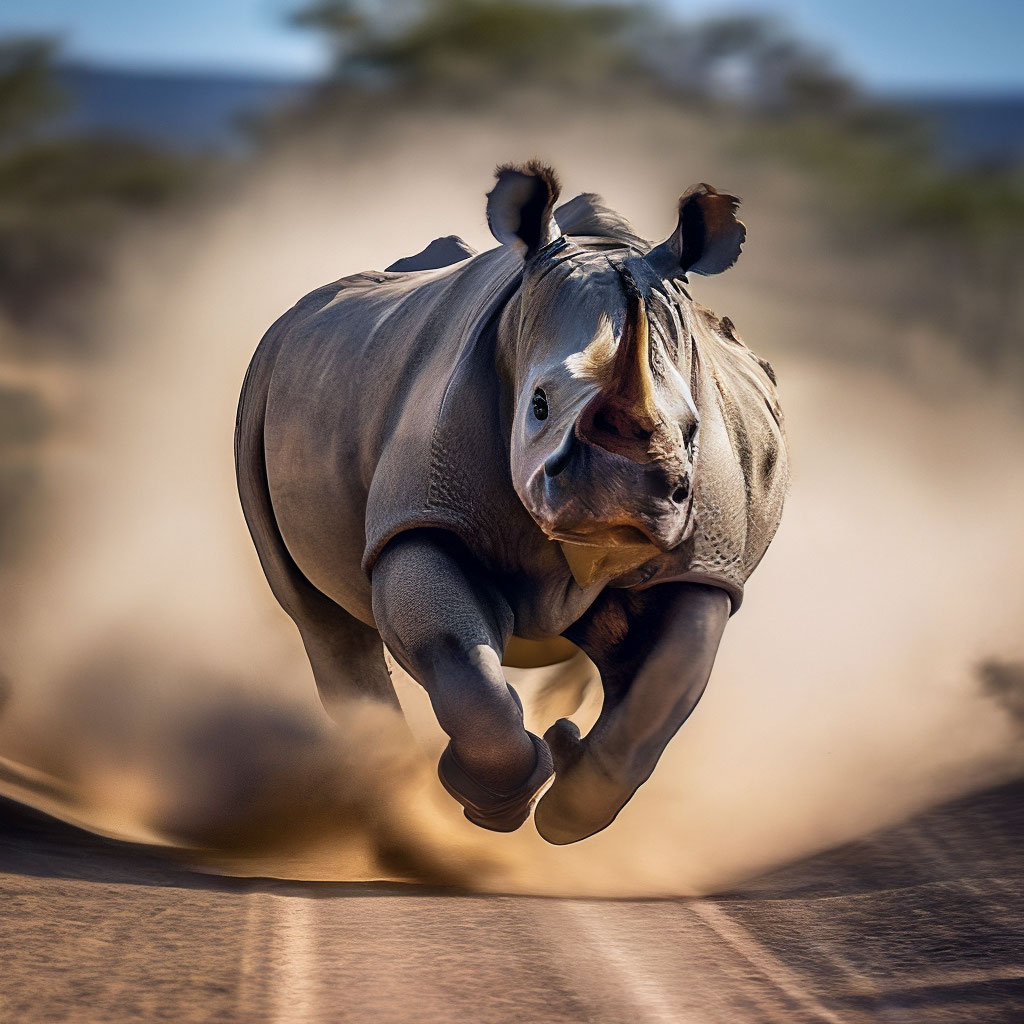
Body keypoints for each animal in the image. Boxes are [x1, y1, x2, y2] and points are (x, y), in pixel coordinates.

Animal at [235, 162, 787, 845]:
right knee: (321, 621)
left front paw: (567, 809)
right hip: (264, 387)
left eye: (692, 431)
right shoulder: (424, 515)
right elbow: (456, 653)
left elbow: (662, 690)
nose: (622, 503)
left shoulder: (704, 563)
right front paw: (496, 805)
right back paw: (397, 795)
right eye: (539, 405)